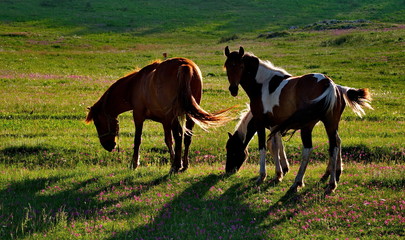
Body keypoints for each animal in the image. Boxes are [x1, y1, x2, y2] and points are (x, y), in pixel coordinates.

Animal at [85, 57, 229, 173]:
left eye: (97, 122)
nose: (108, 146)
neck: (134, 86)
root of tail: (184, 65)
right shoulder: (166, 121)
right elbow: (169, 140)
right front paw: (174, 160)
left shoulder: (139, 116)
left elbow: (138, 140)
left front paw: (134, 164)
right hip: (189, 115)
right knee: (187, 138)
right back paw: (184, 165)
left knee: (179, 137)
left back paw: (176, 166)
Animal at [223, 46, 370, 194]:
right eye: (227, 66)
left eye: (232, 150)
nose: (233, 89)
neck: (263, 84)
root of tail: (328, 83)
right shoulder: (275, 126)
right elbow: (277, 146)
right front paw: (281, 171)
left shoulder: (262, 123)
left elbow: (265, 147)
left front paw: (264, 175)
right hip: (331, 124)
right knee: (334, 145)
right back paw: (332, 180)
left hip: (307, 127)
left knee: (308, 150)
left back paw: (298, 182)